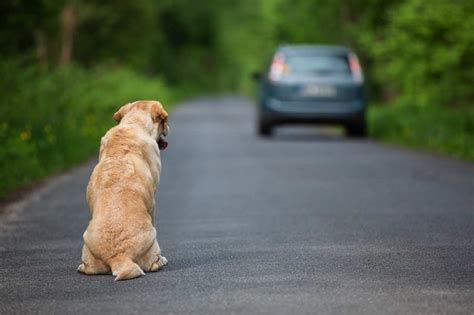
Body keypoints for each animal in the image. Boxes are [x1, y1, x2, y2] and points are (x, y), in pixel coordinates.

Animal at [79, 100, 170, 280]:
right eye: (164, 121)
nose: (168, 128)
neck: (133, 123)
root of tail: (119, 257)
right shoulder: (153, 201)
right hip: (152, 237)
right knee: (153, 263)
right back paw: (161, 261)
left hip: (86, 242)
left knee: (88, 268)